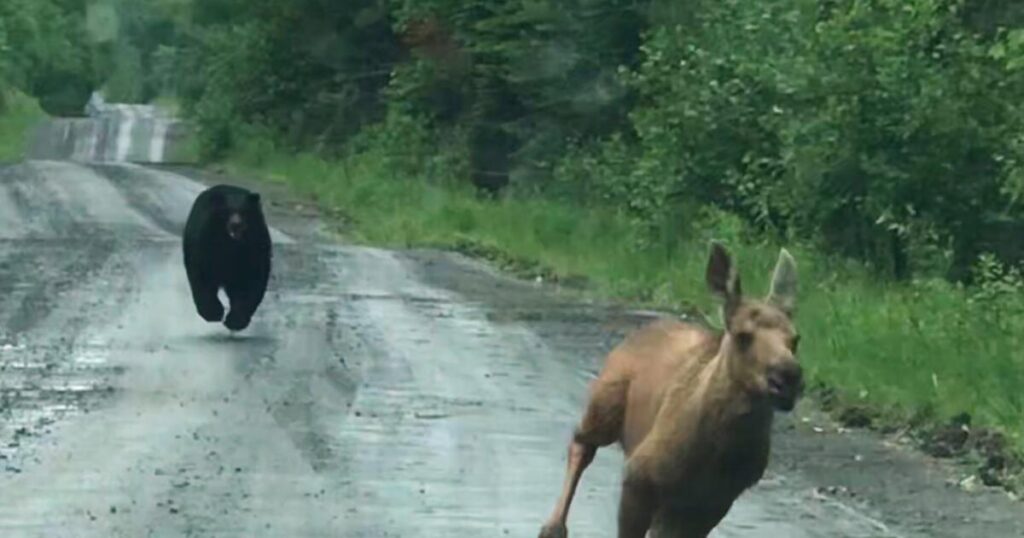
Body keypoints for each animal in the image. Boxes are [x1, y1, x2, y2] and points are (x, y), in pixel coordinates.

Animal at [182, 184, 272, 332]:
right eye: (227, 211)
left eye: (244, 211)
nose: (236, 224)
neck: (231, 244)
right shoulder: (205, 243)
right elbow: (203, 275)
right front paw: (212, 312)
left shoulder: (255, 247)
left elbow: (251, 281)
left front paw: (236, 320)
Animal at [537, 241, 803, 538]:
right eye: (743, 336)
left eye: (795, 339)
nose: (788, 377)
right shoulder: (639, 475)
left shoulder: (714, 501)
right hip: (605, 403)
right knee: (582, 443)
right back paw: (553, 527)